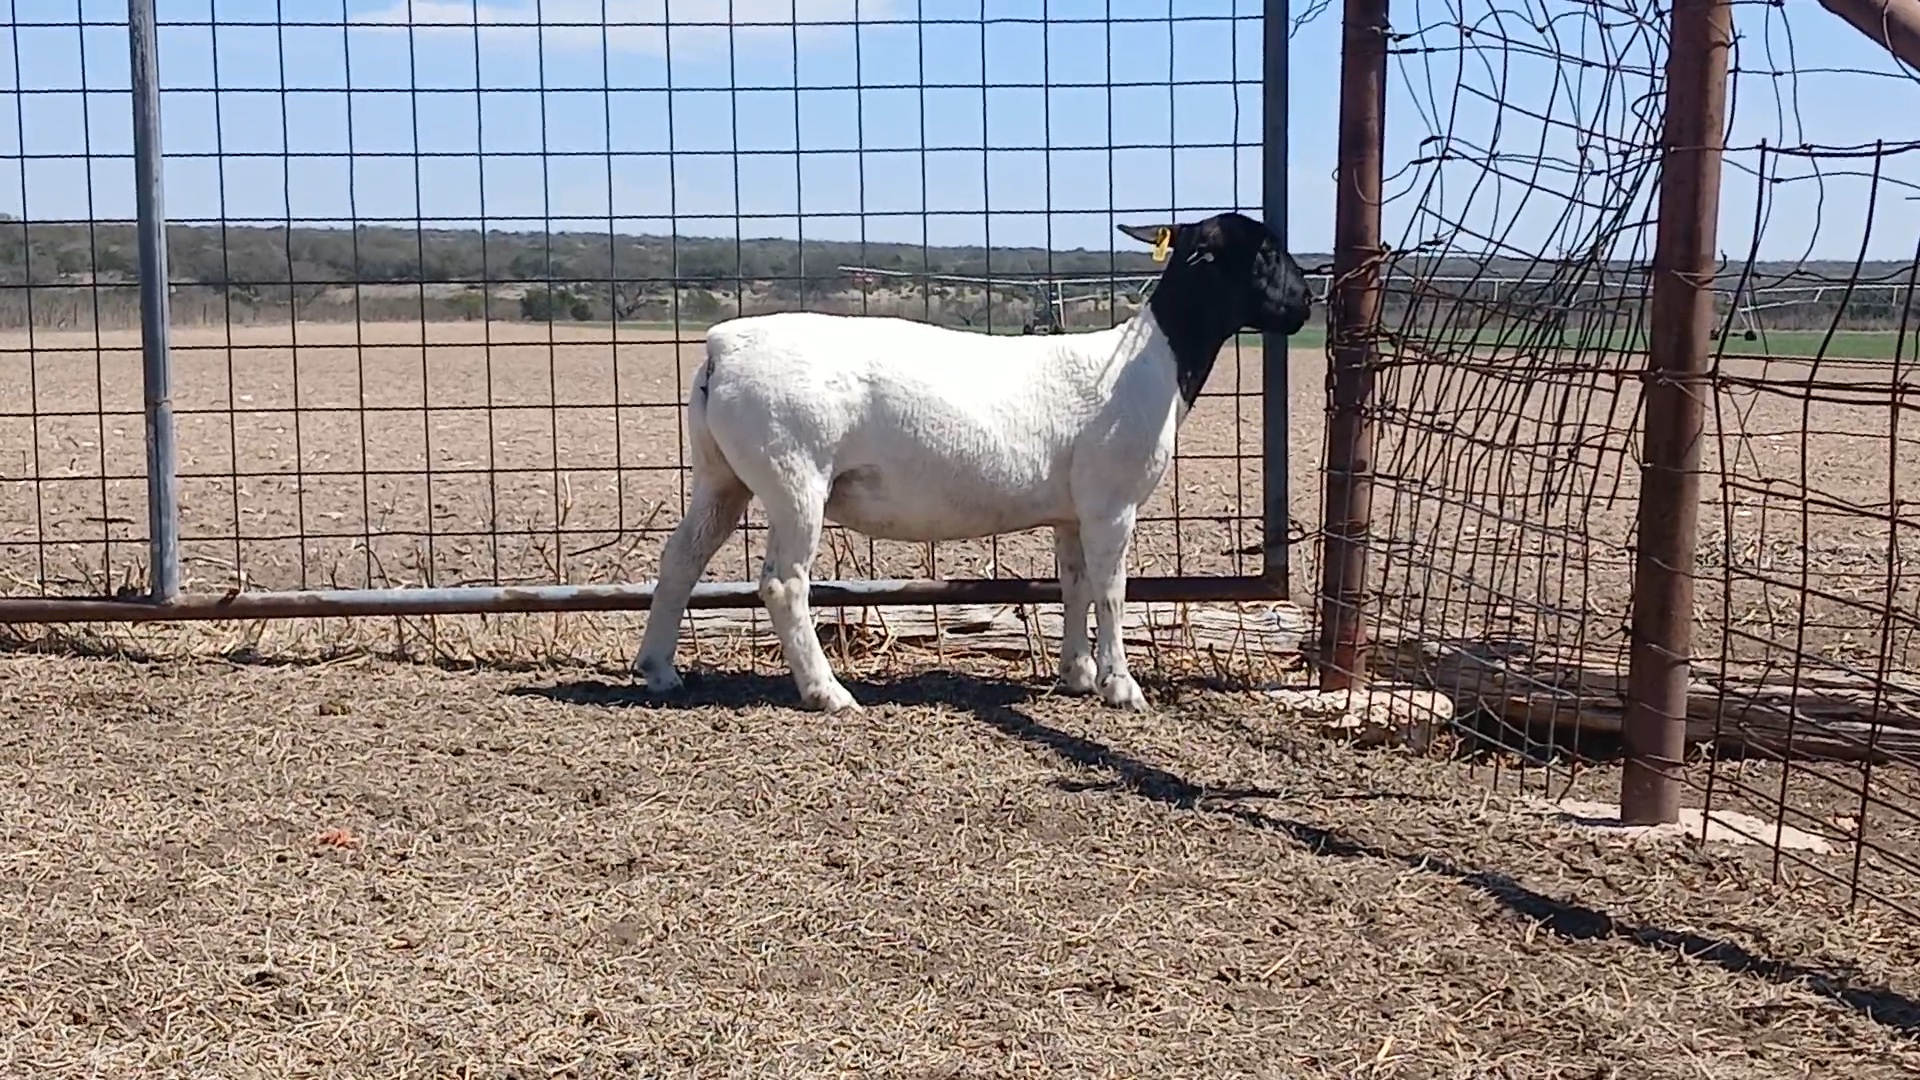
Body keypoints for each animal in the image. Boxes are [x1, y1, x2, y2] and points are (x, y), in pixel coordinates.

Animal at [631, 211, 1313, 714]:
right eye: (1263, 251)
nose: (1306, 303)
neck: (1154, 359)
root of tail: (723, 346)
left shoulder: (1072, 512)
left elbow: (1074, 584)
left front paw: (1076, 675)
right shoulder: (1111, 503)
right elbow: (1113, 590)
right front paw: (1122, 686)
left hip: (722, 473)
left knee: (681, 557)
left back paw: (659, 669)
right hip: (793, 474)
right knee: (783, 583)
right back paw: (828, 693)